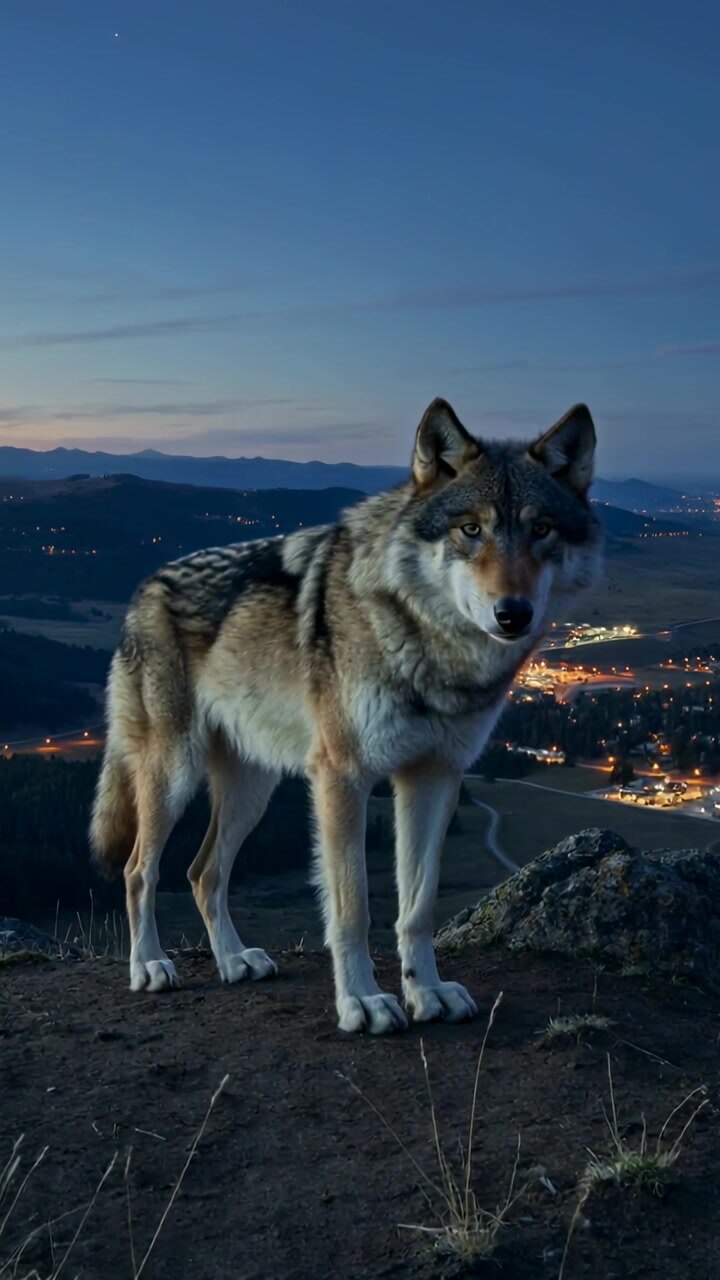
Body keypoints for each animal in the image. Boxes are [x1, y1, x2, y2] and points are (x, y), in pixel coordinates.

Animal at [90, 399, 602, 1033]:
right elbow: (353, 907)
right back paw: (151, 966)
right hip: (172, 775)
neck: (428, 644)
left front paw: (427, 993)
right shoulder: (344, 777)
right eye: (471, 529)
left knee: (203, 873)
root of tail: (144, 588)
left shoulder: (435, 776)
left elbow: (418, 906)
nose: (513, 614)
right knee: (140, 870)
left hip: (253, 790)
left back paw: (234, 961)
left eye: (541, 529)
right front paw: (362, 1001)